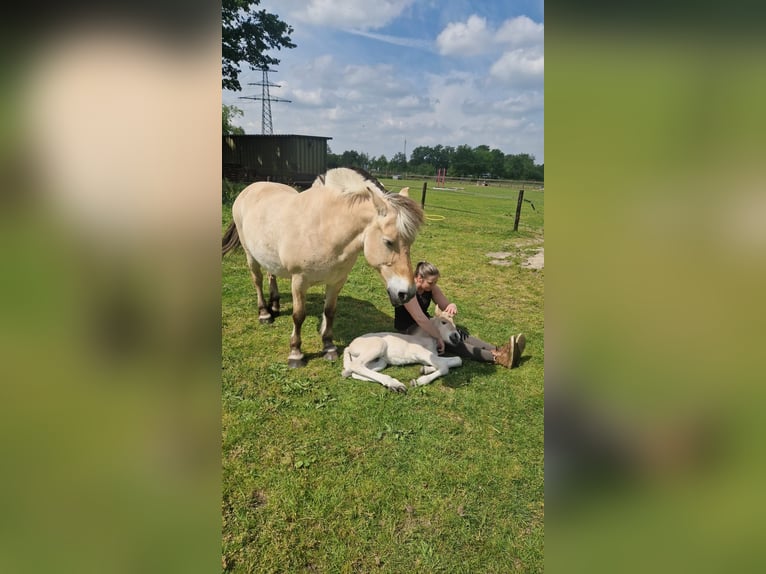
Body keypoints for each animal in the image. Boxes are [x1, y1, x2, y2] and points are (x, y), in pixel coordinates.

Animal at [222, 166, 426, 368]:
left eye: (411, 242)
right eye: (388, 242)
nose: (407, 293)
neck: (326, 229)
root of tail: (249, 189)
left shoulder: (336, 281)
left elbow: (330, 311)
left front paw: (328, 347)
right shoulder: (299, 281)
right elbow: (298, 315)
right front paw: (296, 354)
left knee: (271, 274)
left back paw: (275, 305)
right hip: (250, 255)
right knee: (257, 280)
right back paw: (265, 313)